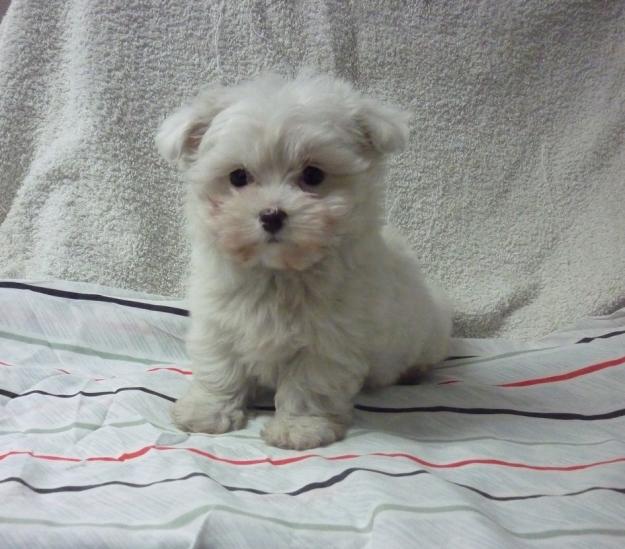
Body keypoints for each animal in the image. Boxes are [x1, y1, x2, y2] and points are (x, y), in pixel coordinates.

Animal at [155, 73, 448, 450]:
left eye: (313, 175)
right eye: (238, 177)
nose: (272, 215)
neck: (278, 273)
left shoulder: (329, 340)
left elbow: (309, 385)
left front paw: (299, 429)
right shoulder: (217, 321)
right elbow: (219, 366)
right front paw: (207, 411)